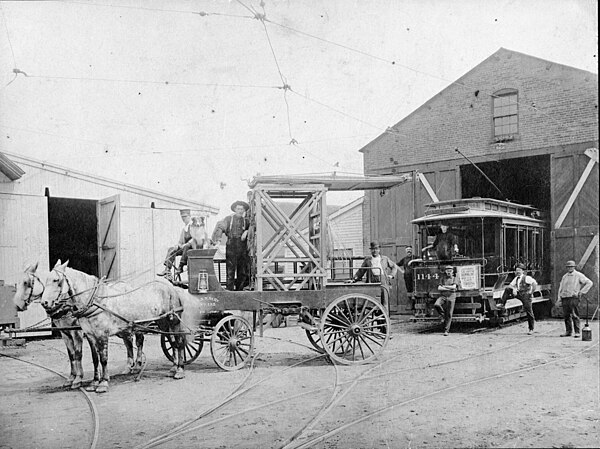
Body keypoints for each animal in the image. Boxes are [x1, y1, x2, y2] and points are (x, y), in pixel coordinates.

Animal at [40, 260, 188, 392]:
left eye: (56, 280)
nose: (44, 302)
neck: (95, 301)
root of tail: (171, 287)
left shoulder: (98, 335)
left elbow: (102, 358)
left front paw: (102, 383)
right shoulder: (88, 335)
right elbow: (94, 358)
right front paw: (94, 382)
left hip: (173, 321)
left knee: (179, 342)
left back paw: (179, 370)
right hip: (162, 323)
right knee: (170, 342)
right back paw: (172, 368)